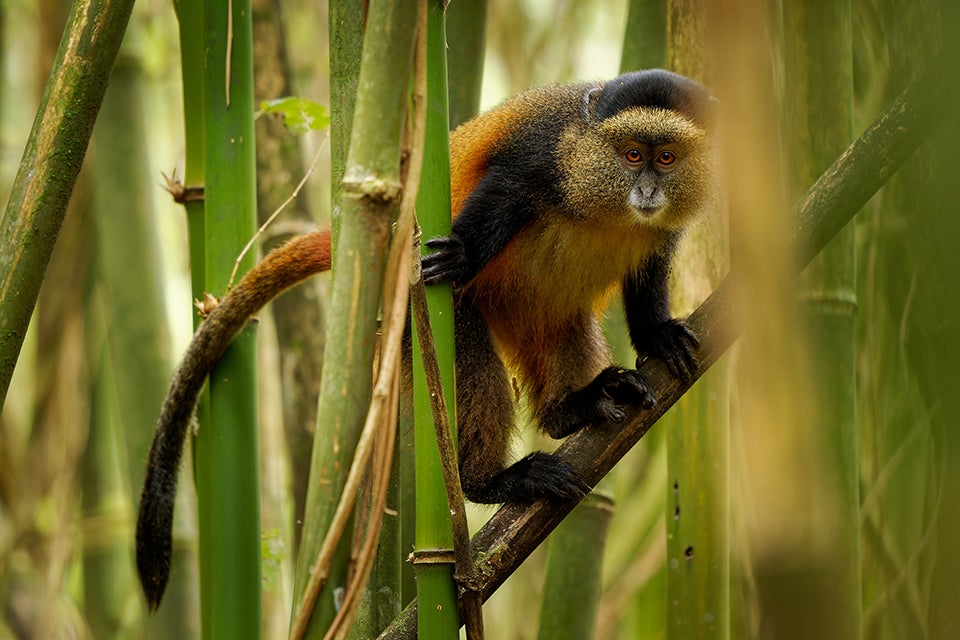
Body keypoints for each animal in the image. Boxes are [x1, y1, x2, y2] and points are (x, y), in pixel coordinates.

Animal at [136, 69, 718, 610]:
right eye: (632, 154)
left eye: (666, 158)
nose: (647, 192)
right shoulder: (545, 149)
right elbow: (507, 186)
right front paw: (462, 252)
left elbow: (651, 267)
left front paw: (657, 337)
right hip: (419, 316)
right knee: (466, 347)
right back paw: (490, 480)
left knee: (561, 333)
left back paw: (575, 407)